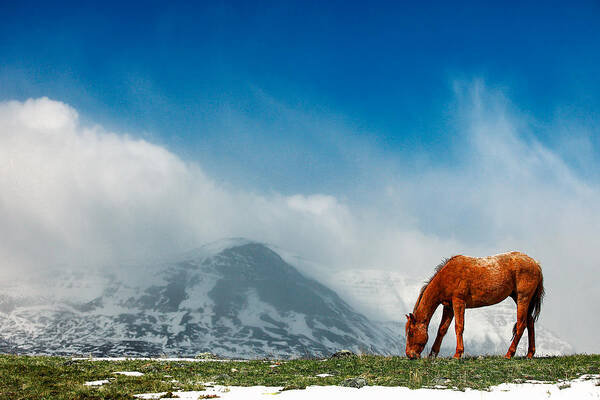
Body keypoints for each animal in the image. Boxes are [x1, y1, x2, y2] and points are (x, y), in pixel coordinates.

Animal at [406, 250, 548, 360]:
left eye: (411, 333)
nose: (409, 355)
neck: (446, 277)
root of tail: (536, 264)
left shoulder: (458, 302)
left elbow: (459, 327)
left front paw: (458, 354)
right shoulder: (448, 306)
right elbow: (442, 329)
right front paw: (433, 354)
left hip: (523, 298)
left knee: (521, 324)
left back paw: (509, 354)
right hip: (519, 298)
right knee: (530, 322)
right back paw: (530, 354)